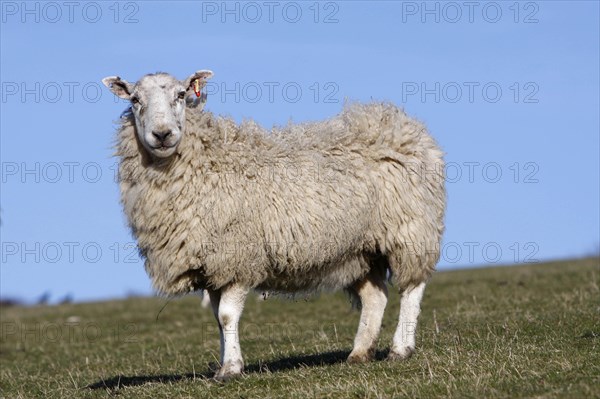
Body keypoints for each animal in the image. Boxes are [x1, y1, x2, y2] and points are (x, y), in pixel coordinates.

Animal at [102, 71, 446, 382]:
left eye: (181, 94)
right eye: (135, 100)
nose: (162, 134)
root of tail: (399, 121)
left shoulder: (239, 258)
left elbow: (227, 314)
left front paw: (232, 369)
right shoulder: (213, 266)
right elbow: (217, 319)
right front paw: (224, 365)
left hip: (409, 229)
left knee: (412, 288)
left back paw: (401, 348)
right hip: (360, 249)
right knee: (376, 297)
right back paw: (360, 352)